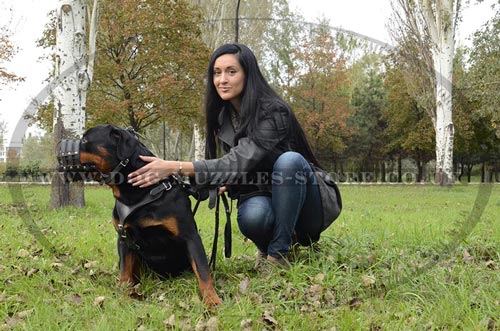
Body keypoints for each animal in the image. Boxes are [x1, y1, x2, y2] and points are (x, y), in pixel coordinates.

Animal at [57, 126, 221, 308]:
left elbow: (203, 271)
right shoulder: (123, 238)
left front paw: (212, 300)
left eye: (85, 140)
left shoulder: (190, 236)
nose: (59, 146)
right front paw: (124, 295)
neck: (139, 194)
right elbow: (125, 272)